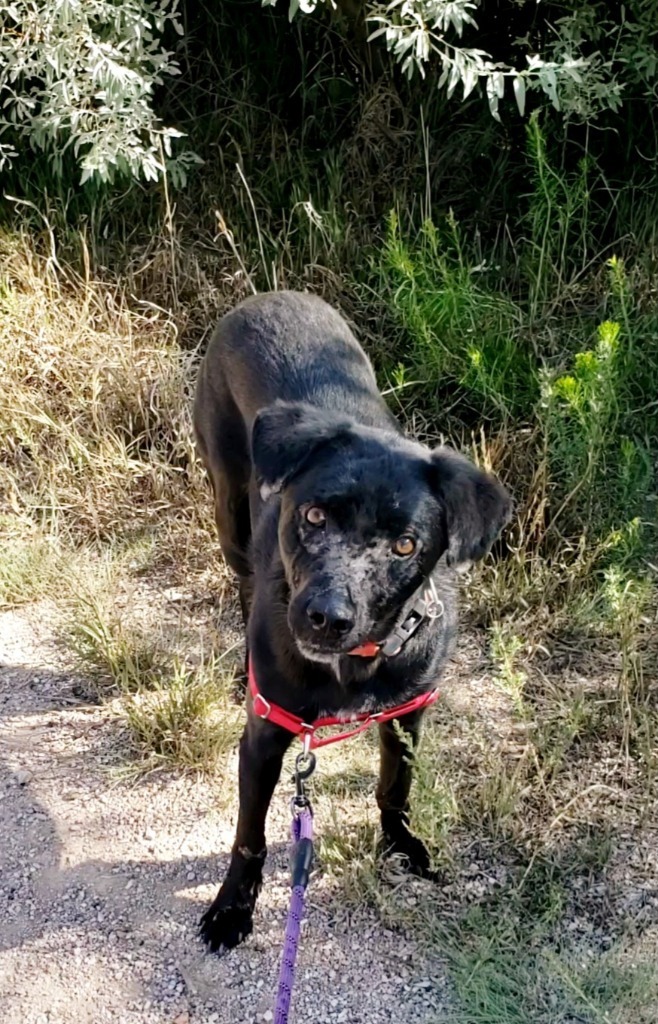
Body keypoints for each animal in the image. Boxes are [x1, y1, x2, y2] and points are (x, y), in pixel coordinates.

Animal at [193, 288, 511, 950]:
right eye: (314, 515)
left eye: (405, 545)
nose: (325, 618)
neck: (355, 664)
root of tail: (270, 295)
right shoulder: (265, 736)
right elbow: (250, 836)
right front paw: (233, 907)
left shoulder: (409, 713)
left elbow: (395, 787)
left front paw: (400, 845)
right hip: (229, 506)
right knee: (242, 574)